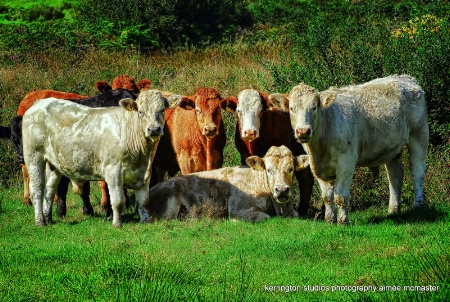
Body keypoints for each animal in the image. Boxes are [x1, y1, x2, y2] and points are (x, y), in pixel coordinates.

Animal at [21, 89, 179, 226]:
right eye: (141, 112)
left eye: (162, 110)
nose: (154, 129)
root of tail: (38, 104)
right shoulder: (113, 171)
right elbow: (117, 201)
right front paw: (117, 223)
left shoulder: (145, 174)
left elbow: (143, 202)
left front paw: (145, 221)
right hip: (33, 156)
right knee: (37, 189)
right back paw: (40, 221)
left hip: (53, 163)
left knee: (49, 189)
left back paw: (48, 218)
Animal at [148, 145, 310, 221]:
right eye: (268, 170)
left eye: (291, 169)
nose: (281, 190)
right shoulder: (239, 209)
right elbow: (265, 217)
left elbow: (296, 214)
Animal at [268, 74, 430, 223]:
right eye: (291, 108)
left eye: (314, 107)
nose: (303, 131)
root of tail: (406, 78)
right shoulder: (316, 167)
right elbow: (327, 197)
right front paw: (329, 220)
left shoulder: (346, 162)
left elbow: (340, 196)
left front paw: (342, 221)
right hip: (392, 149)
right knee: (395, 176)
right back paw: (393, 210)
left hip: (419, 136)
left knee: (417, 172)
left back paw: (418, 206)